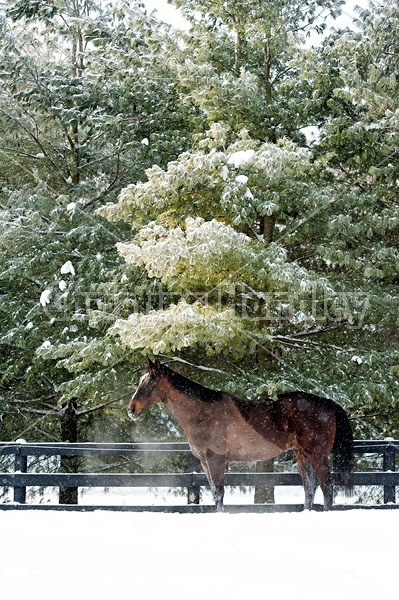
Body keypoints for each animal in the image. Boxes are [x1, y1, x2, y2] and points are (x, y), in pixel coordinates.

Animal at [127, 356, 354, 510]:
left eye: (151, 381)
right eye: (140, 380)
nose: (132, 409)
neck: (203, 412)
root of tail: (328, 403)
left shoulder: (216, 459)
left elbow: (219, 493)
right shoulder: (204, 462)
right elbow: (214, 492)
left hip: (317, 454)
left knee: (327, 486)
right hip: (302, 454)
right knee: (310, 487)